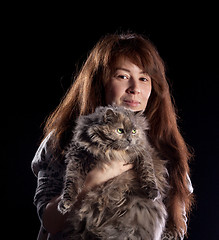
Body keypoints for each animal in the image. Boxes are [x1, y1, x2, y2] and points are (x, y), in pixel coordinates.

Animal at [57, 106, 169, 239]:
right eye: (120, 130)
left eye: (134, 131)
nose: (129, 139)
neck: (109, 150)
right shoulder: (78, 157)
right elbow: (71, 183)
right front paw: (65, 203)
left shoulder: (142, 154)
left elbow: (148, 172)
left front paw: (152, 192)